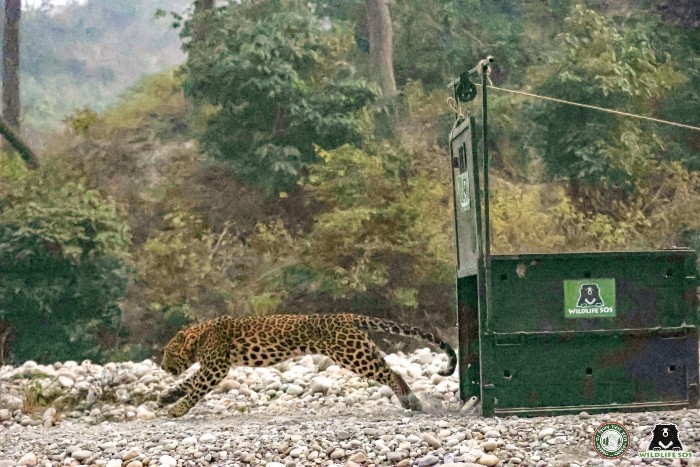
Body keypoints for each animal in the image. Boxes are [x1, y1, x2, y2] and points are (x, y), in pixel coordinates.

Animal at [157, 314, 460, 416]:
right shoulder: (213, 366)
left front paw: (177, 409)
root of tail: (345, 316)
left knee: (388, 372)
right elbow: (188, 382)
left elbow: (196, 386)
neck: (199, 336)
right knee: (392, 369)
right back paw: (410, 401)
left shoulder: (216, 367)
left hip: (352, 354)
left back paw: (411, 401)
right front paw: (165, 397)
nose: (161, 367)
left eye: (167, 352)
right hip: (362, 349)